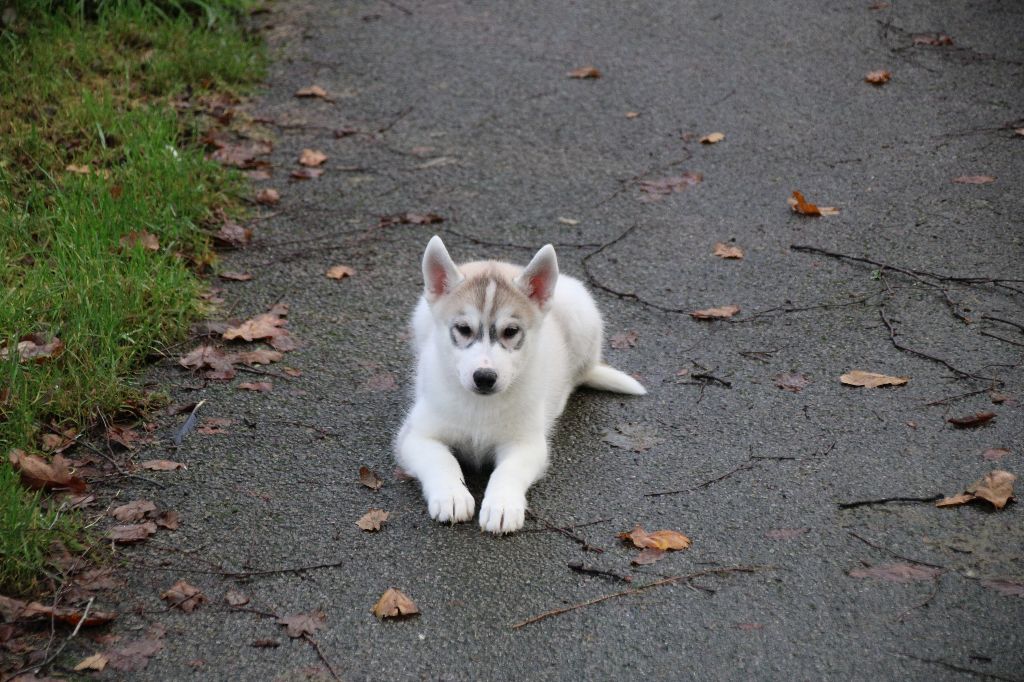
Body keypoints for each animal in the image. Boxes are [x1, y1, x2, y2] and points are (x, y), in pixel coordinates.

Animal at [395, 236, 643, 532]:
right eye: (464, 329)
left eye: (511, 331)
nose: (484, 377)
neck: (480, 406)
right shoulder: (416, 436)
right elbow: (441, 460)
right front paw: (451, 496)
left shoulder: (527, 444)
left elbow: (508, 471)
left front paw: (501, 506)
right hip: (420, 317)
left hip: (582, 313)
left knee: (581, 372)